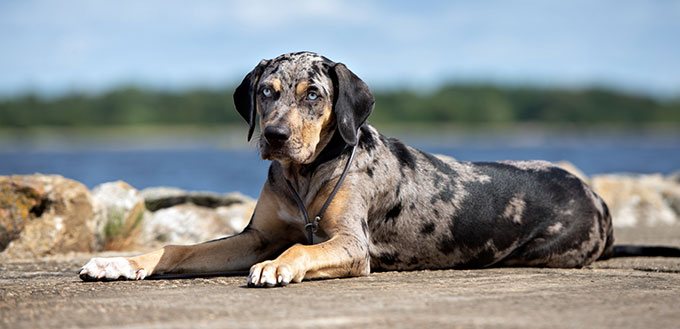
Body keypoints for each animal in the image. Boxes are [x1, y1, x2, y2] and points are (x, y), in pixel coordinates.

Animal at [78, 50, 676, 284]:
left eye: (314, 94)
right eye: (267, 92)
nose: (274, 138)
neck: (306, 177)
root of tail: (599, 198)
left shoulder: (350, 244)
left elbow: (302, 248)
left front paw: (280, 266)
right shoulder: (254, 236)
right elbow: (179, 249)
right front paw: (120, 262)